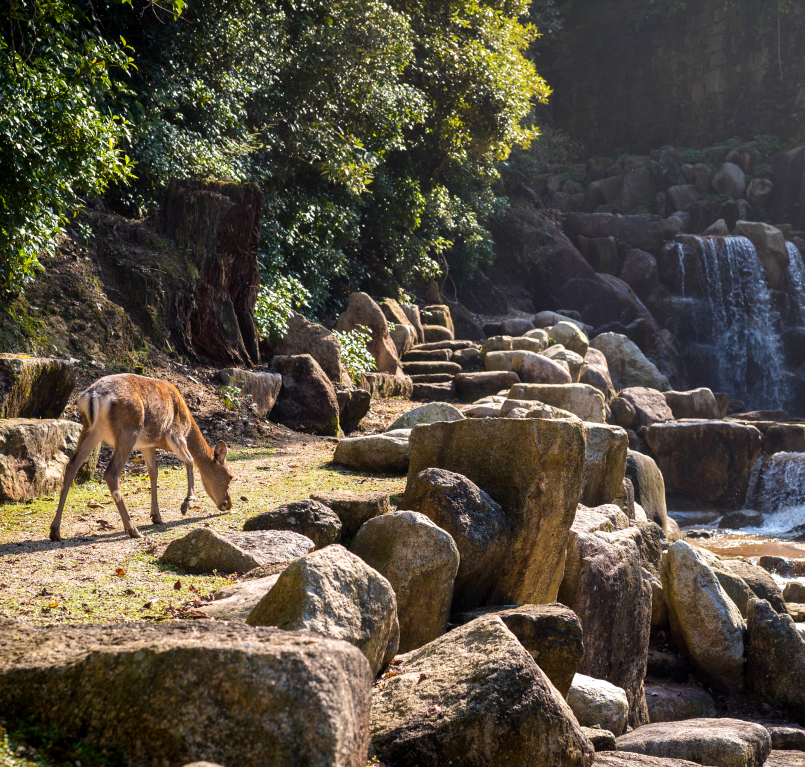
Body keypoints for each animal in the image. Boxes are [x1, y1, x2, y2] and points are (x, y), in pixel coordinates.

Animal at [49, 376, 232, 544]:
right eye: (230, 476)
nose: (228, 504)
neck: (189, 425)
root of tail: (92, 397)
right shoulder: (175, 433)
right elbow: (190, 460)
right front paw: (187, 504)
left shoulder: (147, 445)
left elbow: (154, 472)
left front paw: (157, 516)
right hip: (128, 430)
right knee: (111, 473)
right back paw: (133, 529)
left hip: (92, 430)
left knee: (71, 465)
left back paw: (55, 531)